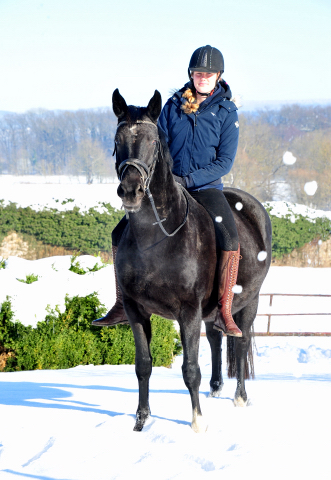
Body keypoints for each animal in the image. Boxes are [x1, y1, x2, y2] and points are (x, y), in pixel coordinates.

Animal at [109, 88, 272, 434]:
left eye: (153, 141)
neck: (157, 235)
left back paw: (239, 397)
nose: (130, 191)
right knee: (216, 337)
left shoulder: (188, 311)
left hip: (248, 303)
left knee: (240, 341)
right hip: (212, 312)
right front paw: (141, 420)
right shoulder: (135, 309)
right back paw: (216, 387)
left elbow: (190, 369)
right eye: (118, 140)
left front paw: (198, 422)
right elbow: (143, 365)